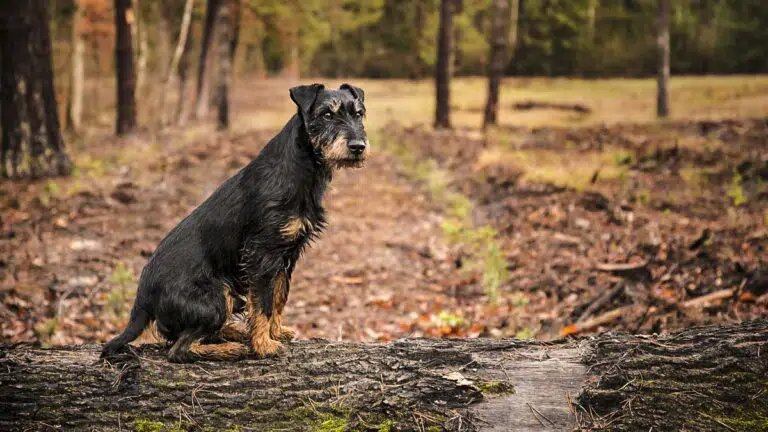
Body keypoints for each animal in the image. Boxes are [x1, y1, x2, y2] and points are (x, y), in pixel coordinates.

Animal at [101, 83, 368, 362]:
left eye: (359, 113)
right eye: (327, 114)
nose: (358, 146)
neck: (301, 169)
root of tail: (142, 299)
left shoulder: (287, 255)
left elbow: (278, 297)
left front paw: (274, 332)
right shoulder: (262, 254)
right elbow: (263, 303)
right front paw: (263, 345)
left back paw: (237, 334)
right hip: (217, 296)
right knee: (179, 349)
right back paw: (232, 347)